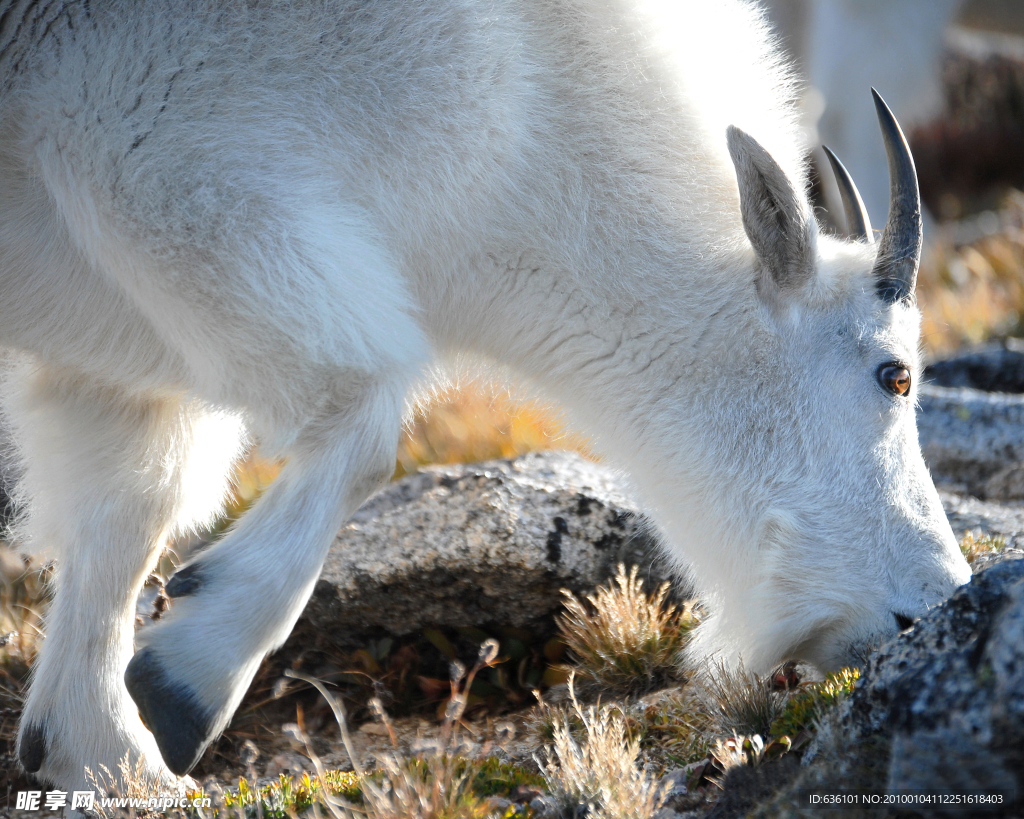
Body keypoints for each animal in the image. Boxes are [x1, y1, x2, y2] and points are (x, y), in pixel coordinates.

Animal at [0, 0, 970, 794]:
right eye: (895, 373)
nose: (930, 606)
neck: (531, 109)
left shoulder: (119, 353)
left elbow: (127, 512)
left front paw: (107, 759)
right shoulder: (176, 179)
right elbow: (363, 424)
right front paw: (178, 684)